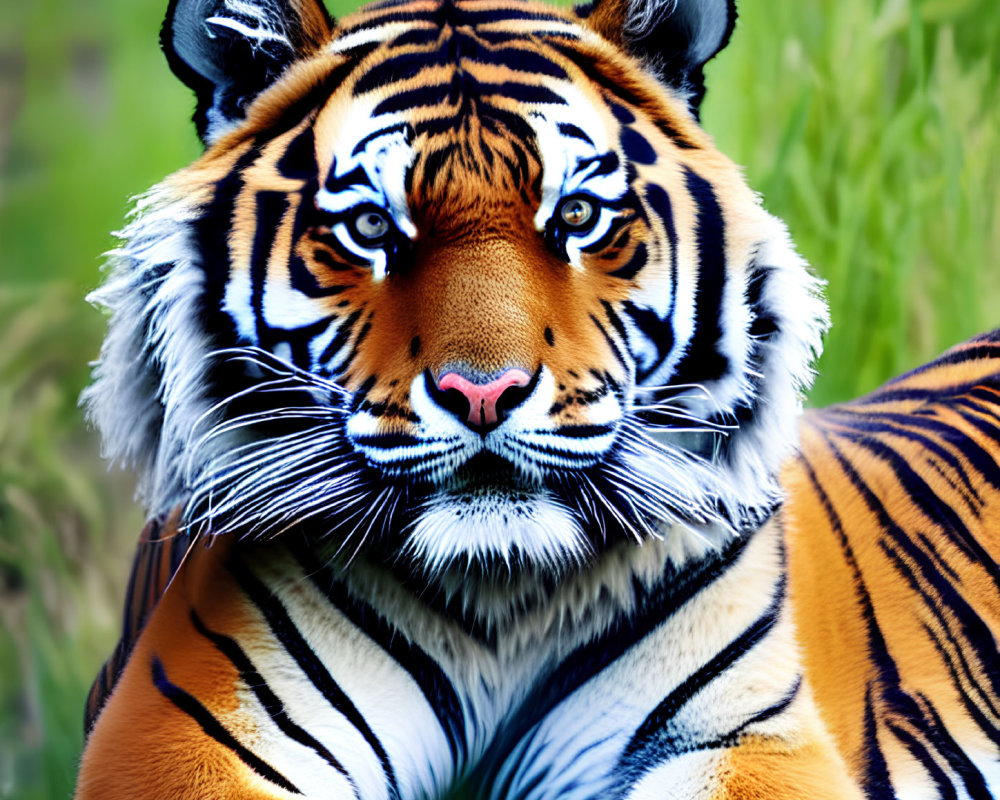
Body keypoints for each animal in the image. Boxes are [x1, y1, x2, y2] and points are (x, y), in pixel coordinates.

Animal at [72, 0, 1000, 796]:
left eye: (579, 216)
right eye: (371, 228)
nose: (483, 395)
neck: (500, 593)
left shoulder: (743, 733)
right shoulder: (190, 720)